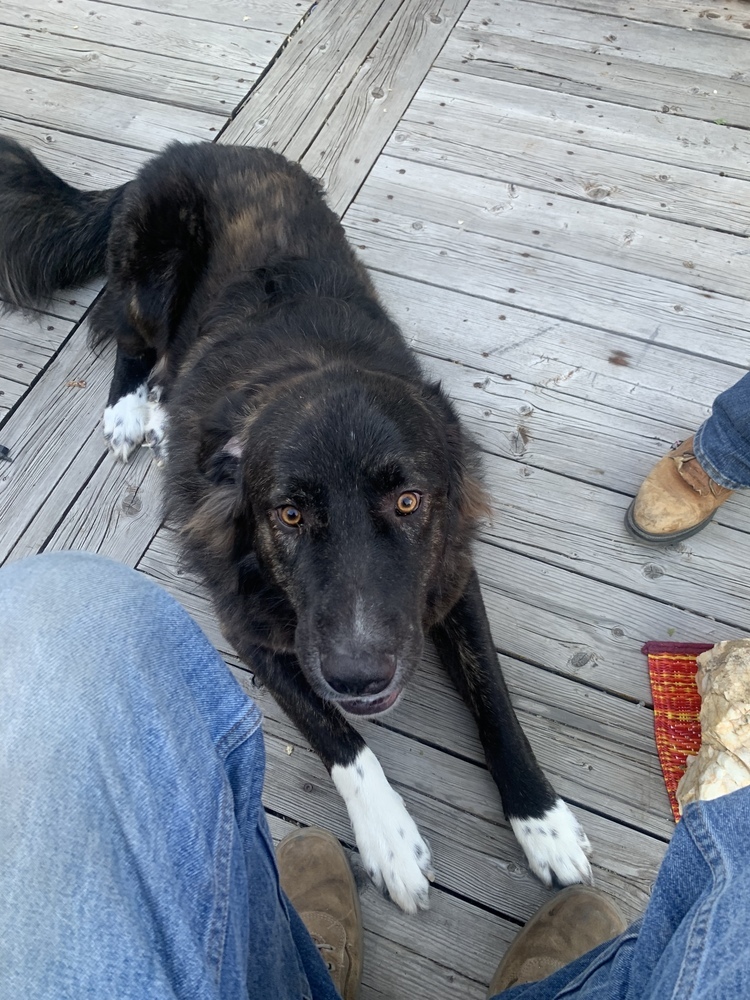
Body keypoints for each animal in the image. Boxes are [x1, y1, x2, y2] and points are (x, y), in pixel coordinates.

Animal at [0, 137, 592, 912]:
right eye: (288, 514)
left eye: (409, 502)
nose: (361, 678)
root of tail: (188, 148)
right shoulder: (249, 626)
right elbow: (337, 735)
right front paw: (389, 838)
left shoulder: (450, 578)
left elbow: (493, 697)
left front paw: (542, 820)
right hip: (153, 271)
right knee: (127, 330)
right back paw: (134, 407)